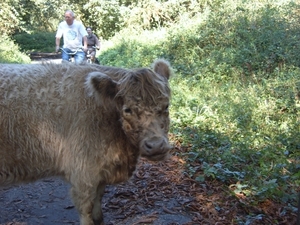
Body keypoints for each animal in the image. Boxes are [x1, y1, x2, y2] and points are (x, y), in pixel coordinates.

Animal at [0, 60, 172, 225]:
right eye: (127, 110)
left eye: (166, 106)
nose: (156, 145)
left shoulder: (101, 171)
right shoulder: (83, 174)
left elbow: (98, 204)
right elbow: (87, 210)